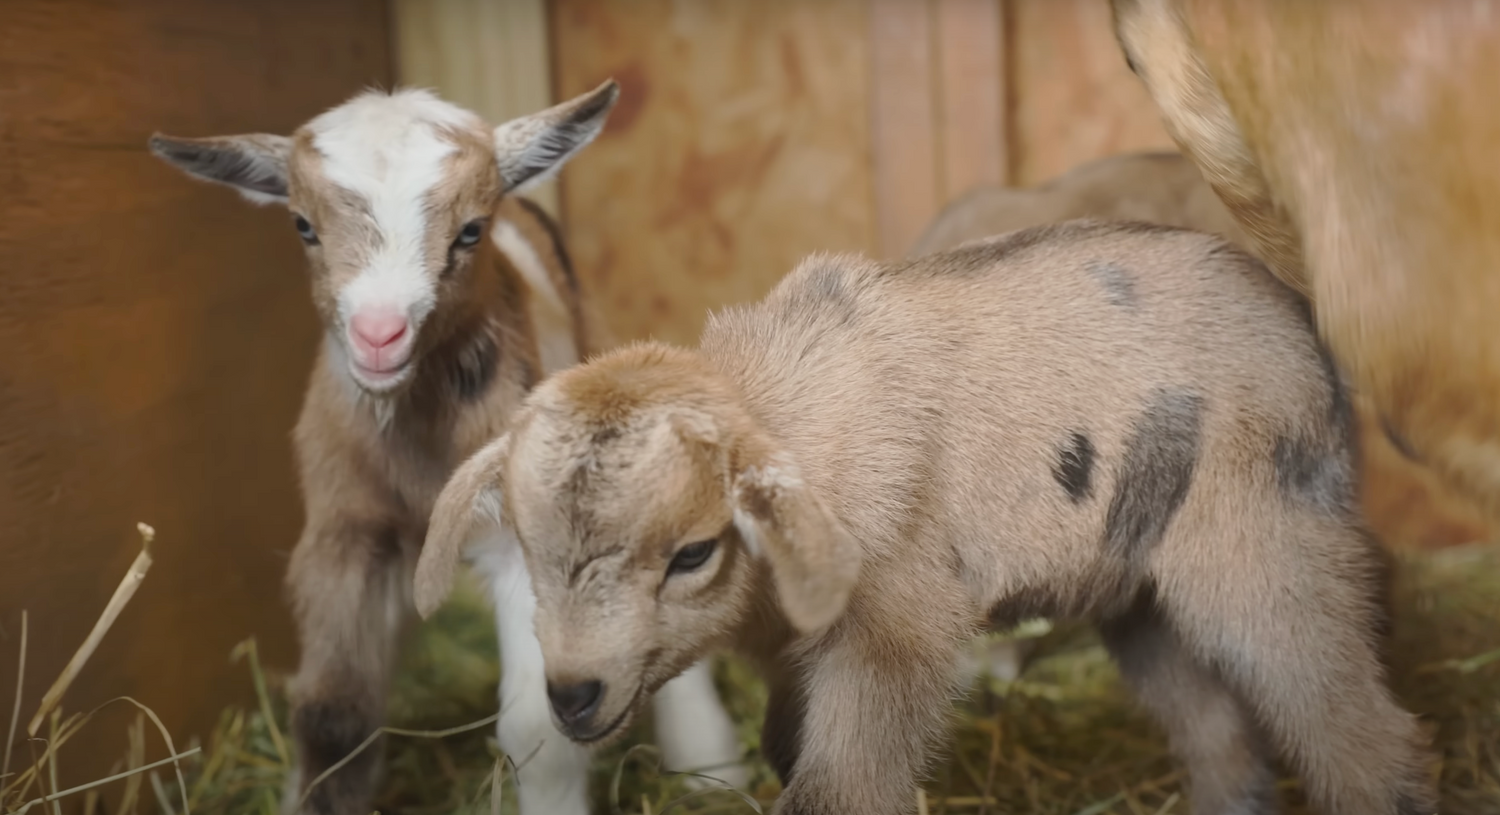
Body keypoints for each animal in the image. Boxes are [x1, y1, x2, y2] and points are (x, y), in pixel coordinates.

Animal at [148, 82, 745, 815]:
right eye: (303, 226)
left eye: (470, 230)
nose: (380, 335)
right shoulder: (348, 534)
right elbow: (331, 713)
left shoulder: (527, 542)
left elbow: (538, 728)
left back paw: (710, 768)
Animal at [414, 219, 1437, 815]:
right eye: (530, 548)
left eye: (694, 552)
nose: (574, 694)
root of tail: (1302, 324)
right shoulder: (795, 654)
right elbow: (789, 752)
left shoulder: (894, 629)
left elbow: (840, 786)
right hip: (1137, 589)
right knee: (1220, 736)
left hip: (1263, 536)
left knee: (1350, 718)